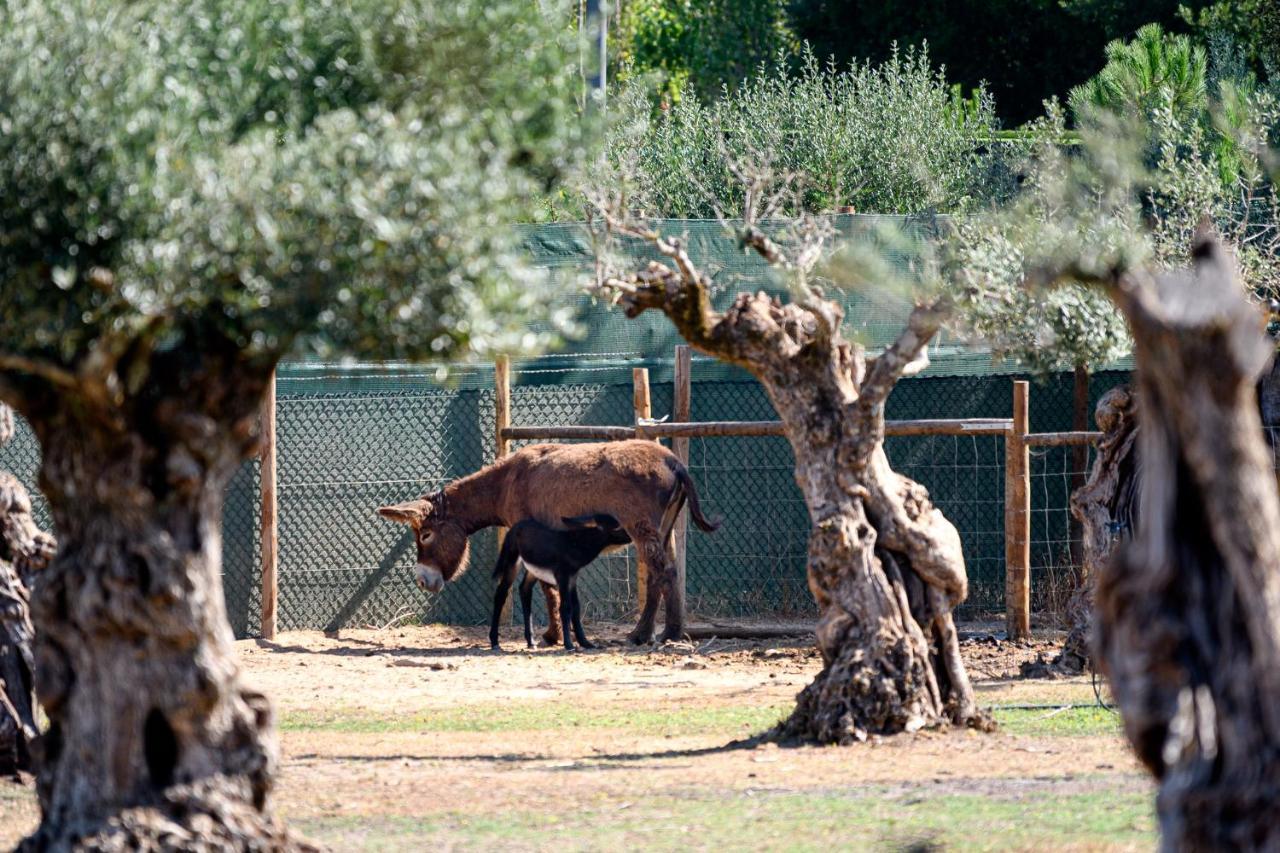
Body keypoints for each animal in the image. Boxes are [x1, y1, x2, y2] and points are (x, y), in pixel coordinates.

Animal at [486, 512, 632, 650]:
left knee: (524, 589)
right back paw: (495, 642)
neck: (574, 546)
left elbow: (576, 607)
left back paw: (531, 641)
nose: (631, 538)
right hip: (512, 562)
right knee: (501, 593)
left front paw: (586, 643)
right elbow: (565, 607)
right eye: (617, 527)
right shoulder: (563, 577)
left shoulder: (572, 579)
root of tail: (515, 527)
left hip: (533, 570)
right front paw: (569, 645)